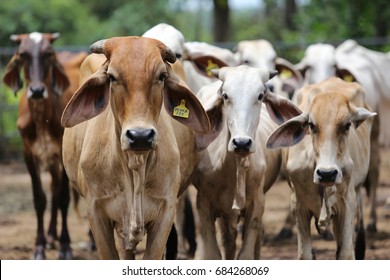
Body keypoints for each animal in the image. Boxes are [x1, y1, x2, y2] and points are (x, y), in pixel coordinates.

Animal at [1, 31, 87, 260]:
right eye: (22, 54)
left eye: (48, 54)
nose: (37, 90)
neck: (42, 118)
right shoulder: (28, 154)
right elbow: (40, 199)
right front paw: (39, 246)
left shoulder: (63, 153)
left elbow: (64, 198)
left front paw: (65, 246)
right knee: (53, 189)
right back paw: (50, 237)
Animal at [193, 64, 302, 260]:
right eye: (225, 96)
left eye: (260, 96)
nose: (241, 143)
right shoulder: (204, 204)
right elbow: (213, 253)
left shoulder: (257, 205)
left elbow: (245, 254)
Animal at [266, 77, 376, 260]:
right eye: (311, 125)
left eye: (347, 125)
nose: (327, 174)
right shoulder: (299, 204)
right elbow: (305, 254)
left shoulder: (347, 202)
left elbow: (346, 253)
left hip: (357, 190)